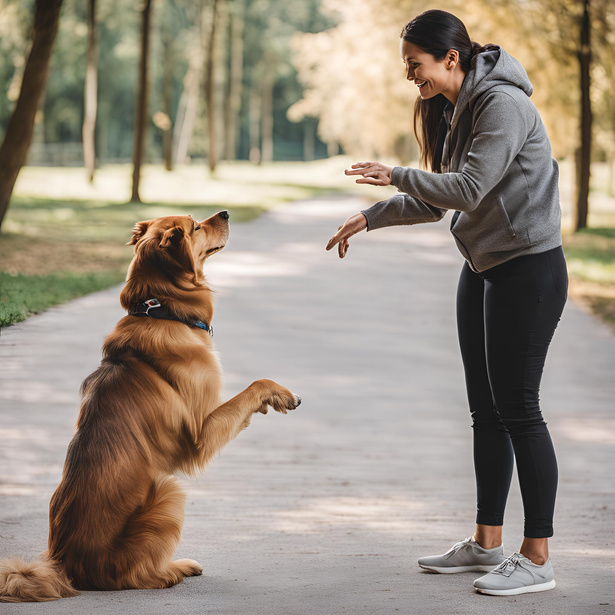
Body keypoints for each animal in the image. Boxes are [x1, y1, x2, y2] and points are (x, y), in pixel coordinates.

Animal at [0, 212, 302, 600]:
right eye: (195, 226)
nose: (225, 213)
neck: (161, 313)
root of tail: (66, 566)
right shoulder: (200, 436)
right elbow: (254, 385)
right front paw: (280, 395)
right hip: (169, 493)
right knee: (136, 576)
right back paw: (173, 569)